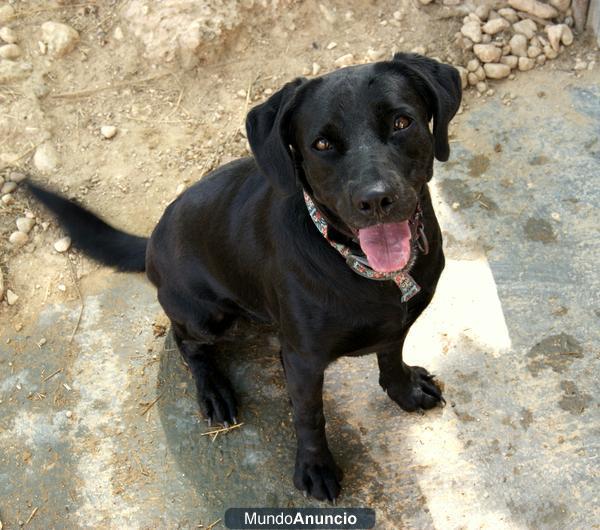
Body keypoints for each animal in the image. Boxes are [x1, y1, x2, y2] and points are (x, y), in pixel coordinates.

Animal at [27, 53, 460, 500]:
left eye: (401, 122)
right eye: (322, 145)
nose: (375, 200)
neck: (361, 266)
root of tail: (151, 241)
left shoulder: (397, 326)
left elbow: (390, 356)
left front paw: (404, 390)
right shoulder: (303, 361)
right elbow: (310, 416)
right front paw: (315, 467)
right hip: (206, 315)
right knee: (187, 343)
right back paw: (214, 390)